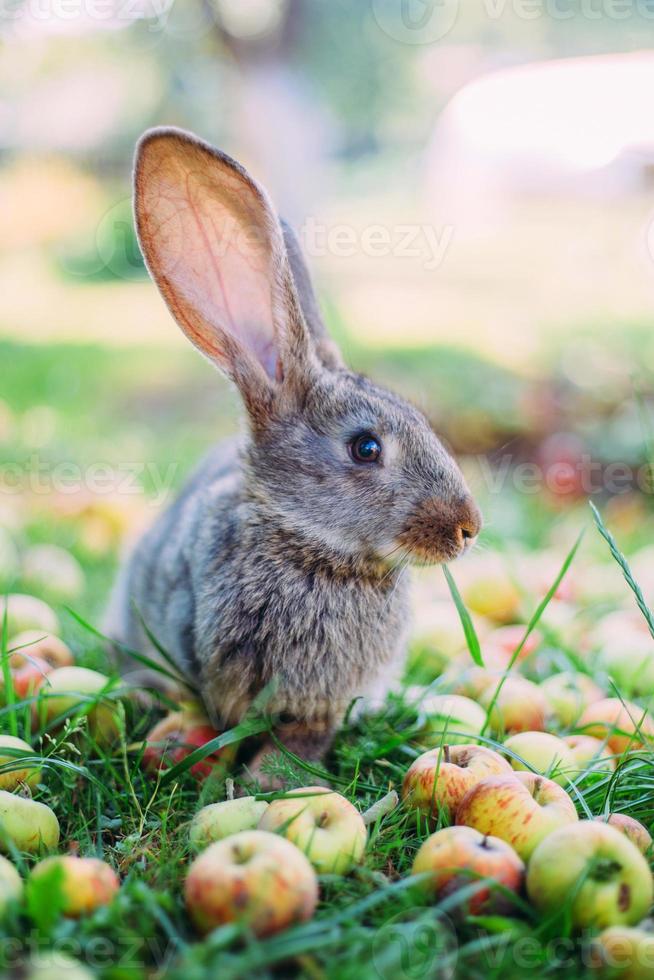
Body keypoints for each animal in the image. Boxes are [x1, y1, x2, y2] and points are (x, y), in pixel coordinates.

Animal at [106, 126, 482, 784]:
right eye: (365, 447)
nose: (468, 528)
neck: (311, 549)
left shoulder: (321, 704)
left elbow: (304, 737)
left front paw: (270, 782)